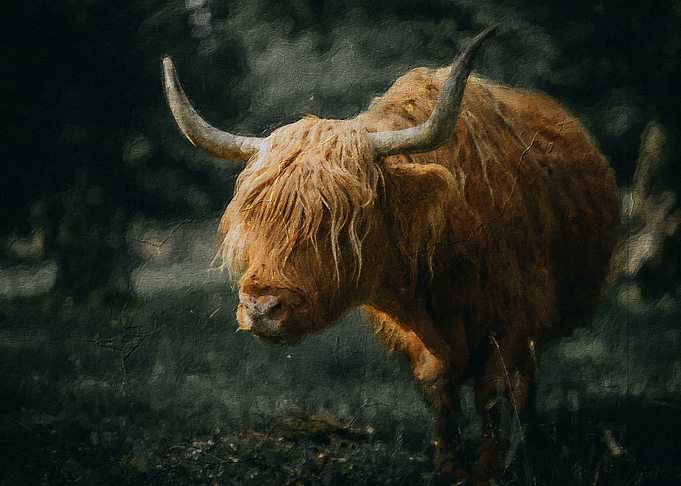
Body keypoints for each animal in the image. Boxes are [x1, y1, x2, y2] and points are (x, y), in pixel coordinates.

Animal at [161, 27, 619, 484]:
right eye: (254, 218)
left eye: (334, 219)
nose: (261, 308)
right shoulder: (412, 333)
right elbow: (437, 387)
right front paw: (450, 467)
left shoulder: (512, 318)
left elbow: (494, 391)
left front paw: (489, 471)